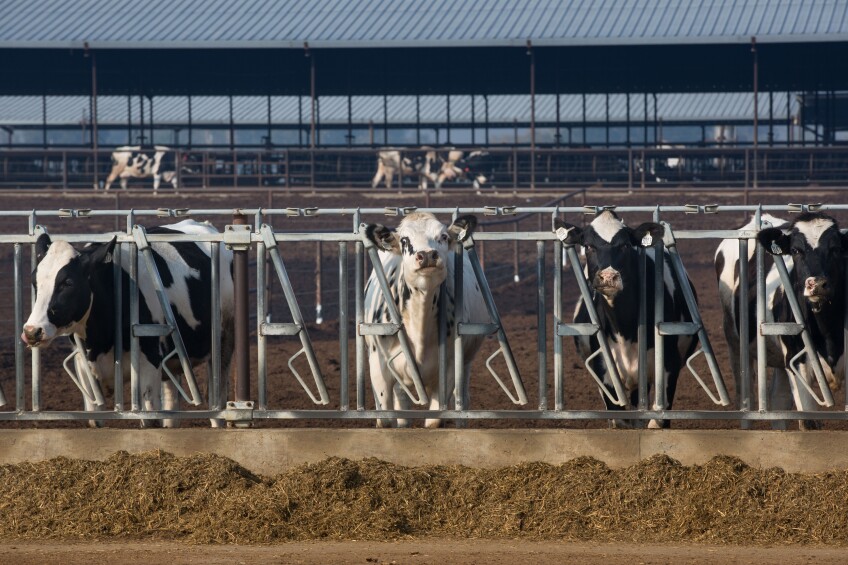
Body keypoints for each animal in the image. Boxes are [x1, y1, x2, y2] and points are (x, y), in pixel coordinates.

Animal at [21, 218, 234, 426]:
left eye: (68, 283)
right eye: (34, 282)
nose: (32, 331)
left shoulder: (150, 362)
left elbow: (151, 422)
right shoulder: (84, 367)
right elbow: (94, 422)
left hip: (223, 343)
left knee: (217, 403)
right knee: (172, 405)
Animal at [364, 213, 490, 428]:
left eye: (443, 236)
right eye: (404, 240)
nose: (428, 255)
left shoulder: (448, 369)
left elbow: (434, 422)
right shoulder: (379, 367)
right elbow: (386, 420)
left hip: (466, 361)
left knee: (463, 399)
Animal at [556, 210, 696, 428]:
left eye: (625, 245)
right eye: (588, 246)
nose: (608, 277)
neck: (624, 330)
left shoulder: (669, 368)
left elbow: (657, 421)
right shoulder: (604, 372)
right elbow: (620, 420)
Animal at [716, 212, 848, 428]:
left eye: (836, 248)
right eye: (795, 250)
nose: (816, 284)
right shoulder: (797, 362)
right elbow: (808, 421)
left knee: (779, 400)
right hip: (734, 341)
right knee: (745, 396)